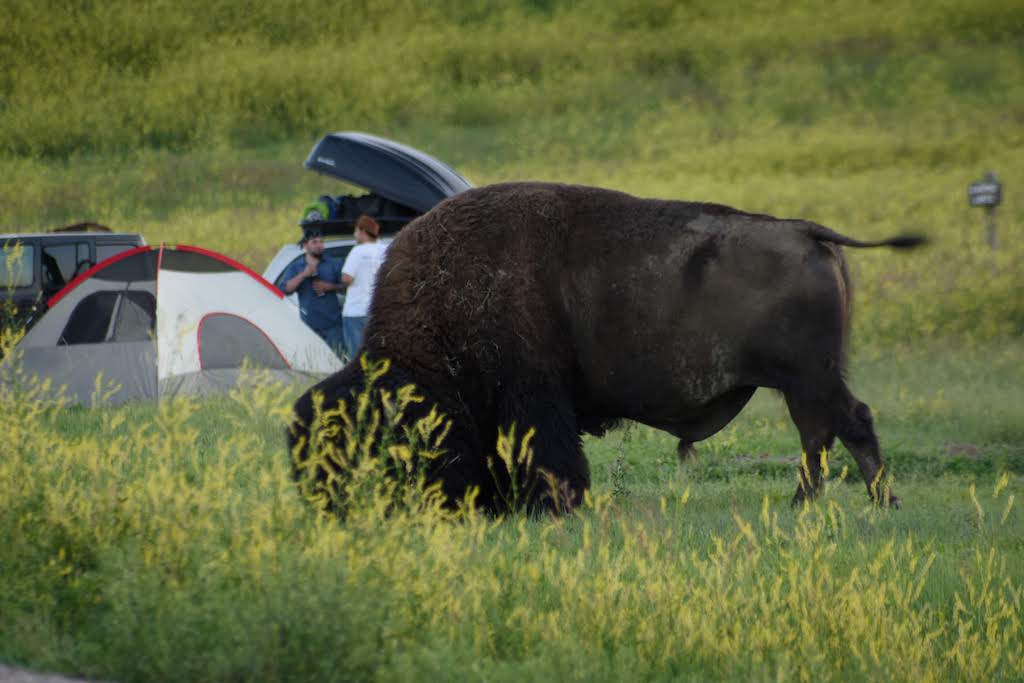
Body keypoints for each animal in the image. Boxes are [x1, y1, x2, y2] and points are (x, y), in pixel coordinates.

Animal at [286, 181, 921, 511]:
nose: (328, 505)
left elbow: (548, 454)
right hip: (802, 382)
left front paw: (556, 505)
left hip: (808, 377)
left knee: (846, 425)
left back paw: (862, 503)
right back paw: (819, 504)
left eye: (362, 438)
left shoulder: (533, 399)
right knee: (823, 433)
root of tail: (805, 230)